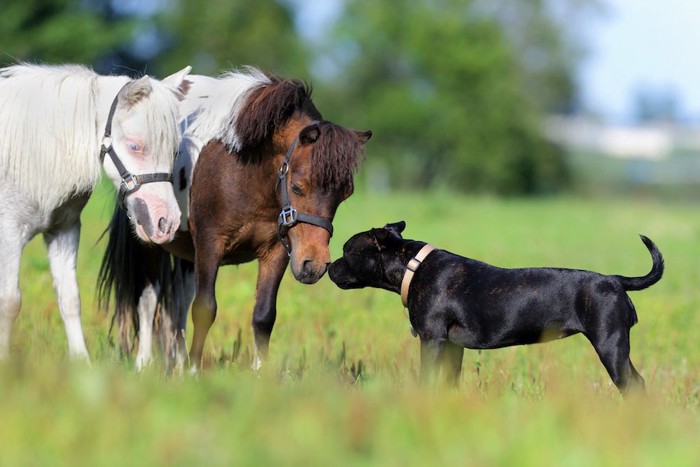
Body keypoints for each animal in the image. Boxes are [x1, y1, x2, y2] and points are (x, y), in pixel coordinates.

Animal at [0, 63, 189, 362]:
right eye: (135, 146)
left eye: (174, 151)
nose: (166, 223)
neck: (29, 150)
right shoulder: (9, 232)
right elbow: (9, 302)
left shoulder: (63, 231)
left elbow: (70, 299)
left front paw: (81, 362)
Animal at [100, 69, 372, 372]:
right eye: (298, 186)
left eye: (345, 194)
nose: (313, 265)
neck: (243, 169)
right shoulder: (209, 245)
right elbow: (204, 309)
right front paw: (194, 371)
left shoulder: (276, 252)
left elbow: (264, 315)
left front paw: (260, 373)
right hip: (150, 239)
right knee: (148, 301)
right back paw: (144, 364)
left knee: (178, 303)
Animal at [328, 223, 660, 394]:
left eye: (347, 250)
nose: (329, 266)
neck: (412, 264)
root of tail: (614, 280)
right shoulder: (452, 346)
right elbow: (448, 381)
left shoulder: (432, 340)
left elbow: (427, 378)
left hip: (609, 345)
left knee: (632, 383)